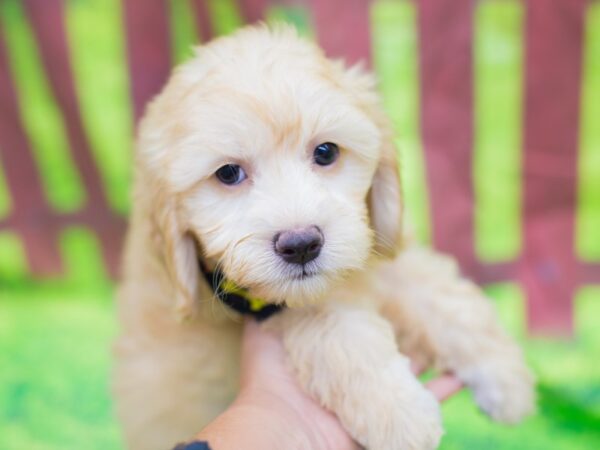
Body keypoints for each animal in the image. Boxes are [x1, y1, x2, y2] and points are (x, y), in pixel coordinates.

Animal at [113, 25, 536, 450]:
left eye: (326, 152)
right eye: (228, 173)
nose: (301, 245)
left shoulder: (377, 241)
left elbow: (435, 291)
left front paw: (503, 373)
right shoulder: (258, 302)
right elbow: (331, 326)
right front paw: (397, 412)